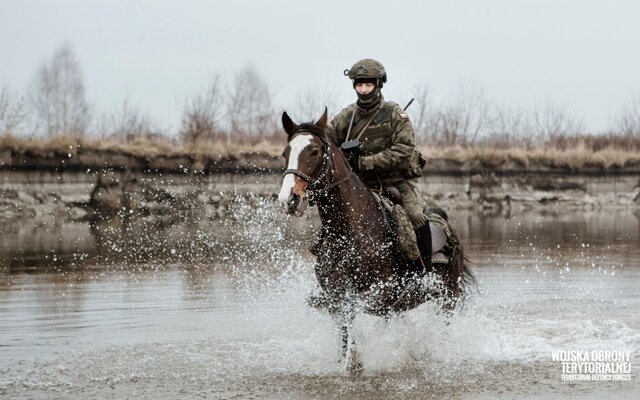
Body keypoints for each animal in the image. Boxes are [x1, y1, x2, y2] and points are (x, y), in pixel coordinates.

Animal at [278, 108, 472, 372]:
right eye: (285, 153)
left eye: (315, 151)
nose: (289, 199)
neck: (349, 231)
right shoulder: (336, 294)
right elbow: (345, 329)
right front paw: (351, 363)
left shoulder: (380, 294)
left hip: (448, 297)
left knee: (443, 327)